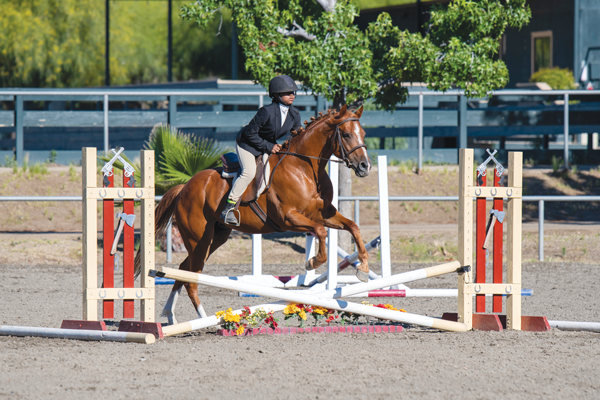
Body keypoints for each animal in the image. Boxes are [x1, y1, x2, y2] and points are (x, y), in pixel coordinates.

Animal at [138, 104, 372, 324]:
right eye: (346, 134)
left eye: (363, 133)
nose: (365, 166)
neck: (304, 167)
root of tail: (184, 187)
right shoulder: (289, 218)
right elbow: (321, 232)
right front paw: (312, 262)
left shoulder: (324, 215)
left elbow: (353, 227)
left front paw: (363, 269)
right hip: (199, 240)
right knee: (191, 279)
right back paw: (205, 320)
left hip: (215, 238)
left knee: (182, 270)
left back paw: (170, 316)